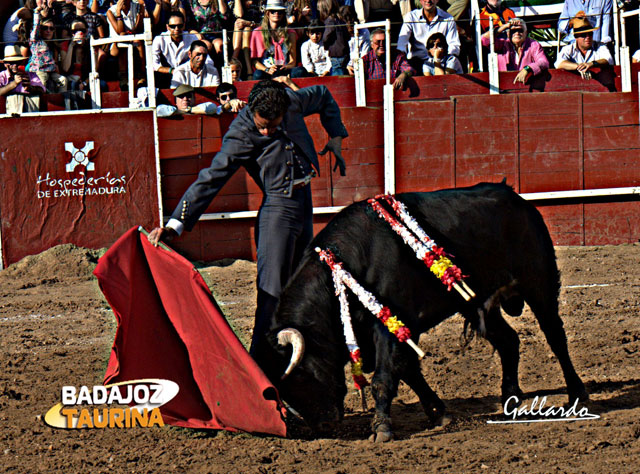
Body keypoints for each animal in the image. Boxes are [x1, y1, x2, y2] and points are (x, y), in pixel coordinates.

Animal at [252, 182, 588, 440]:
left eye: (297, 376)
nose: (323, 425)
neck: (344, 268)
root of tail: (518, 200)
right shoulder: (395, 330)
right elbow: (409, 370)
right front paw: (439, 414)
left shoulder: (387, 329)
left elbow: (384, 377)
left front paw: (382, 429)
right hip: (478, 303)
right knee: (508, 341)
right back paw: (510, 397)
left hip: (539, 282)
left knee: (555, 336)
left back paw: (577, 394)